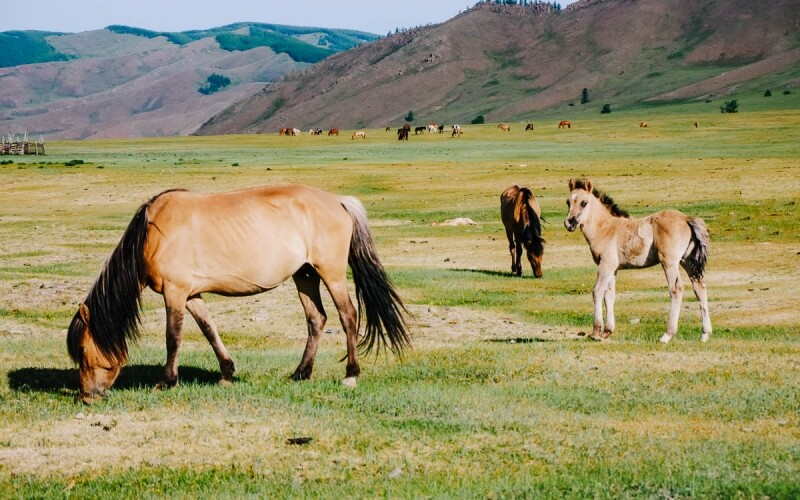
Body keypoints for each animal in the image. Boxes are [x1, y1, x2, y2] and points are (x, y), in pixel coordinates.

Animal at [67, 184, 411, 403]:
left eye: (83, 351)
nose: (86, 396)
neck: (151, 235)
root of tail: (338, 201)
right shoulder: (191, 295)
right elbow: (209, 330)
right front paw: (227, 372)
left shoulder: (175, 293)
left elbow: (173, 337)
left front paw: (166, 381)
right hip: (305, 275)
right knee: (317, 319)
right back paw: (300, 373)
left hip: (332, 273)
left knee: (347, 315)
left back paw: (350, 374)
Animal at [564, 178, 712, 343]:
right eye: (568, 202)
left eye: (584, 202)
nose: (570, 223)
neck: (605, 228)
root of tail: (686, 219)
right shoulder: (613, 268)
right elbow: (610, 295)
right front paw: (607, 331)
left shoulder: (606, 264)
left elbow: (597, 291)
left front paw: (596, 332)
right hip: (687, 261)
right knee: (700, 288)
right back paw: (705, 334)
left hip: (669, 262)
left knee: (676, 289)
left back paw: (667, 335)